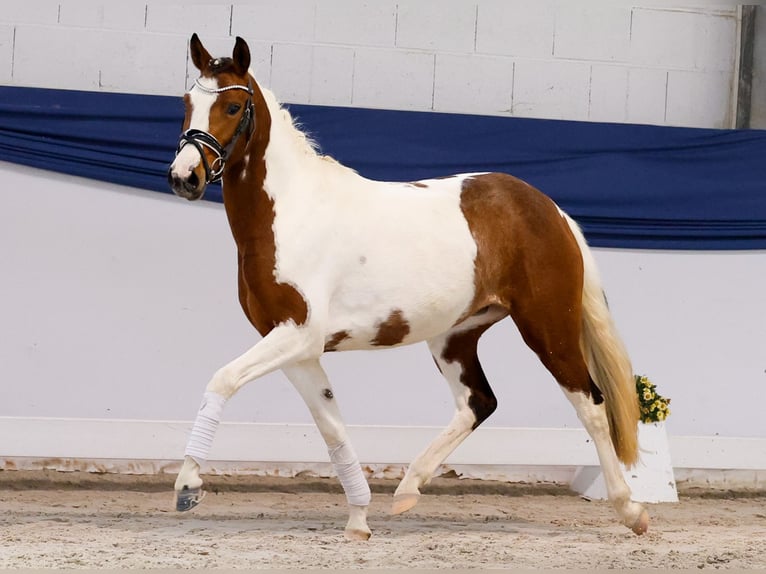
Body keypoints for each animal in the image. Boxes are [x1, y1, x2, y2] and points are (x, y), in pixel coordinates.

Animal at [167, 33, 649, 540]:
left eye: (234, 106)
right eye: (187, 102)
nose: (184, 177)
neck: (292, 213)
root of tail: (552, 210)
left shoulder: (297, 334)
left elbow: (222, 379)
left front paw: (188, 488)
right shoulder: (296, 348)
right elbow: (333, 428)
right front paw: (359, 520)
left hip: (548, 327)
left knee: (591, 404)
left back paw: (631, 510)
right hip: (456, 336)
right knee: (478, 403)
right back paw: (407, 489)